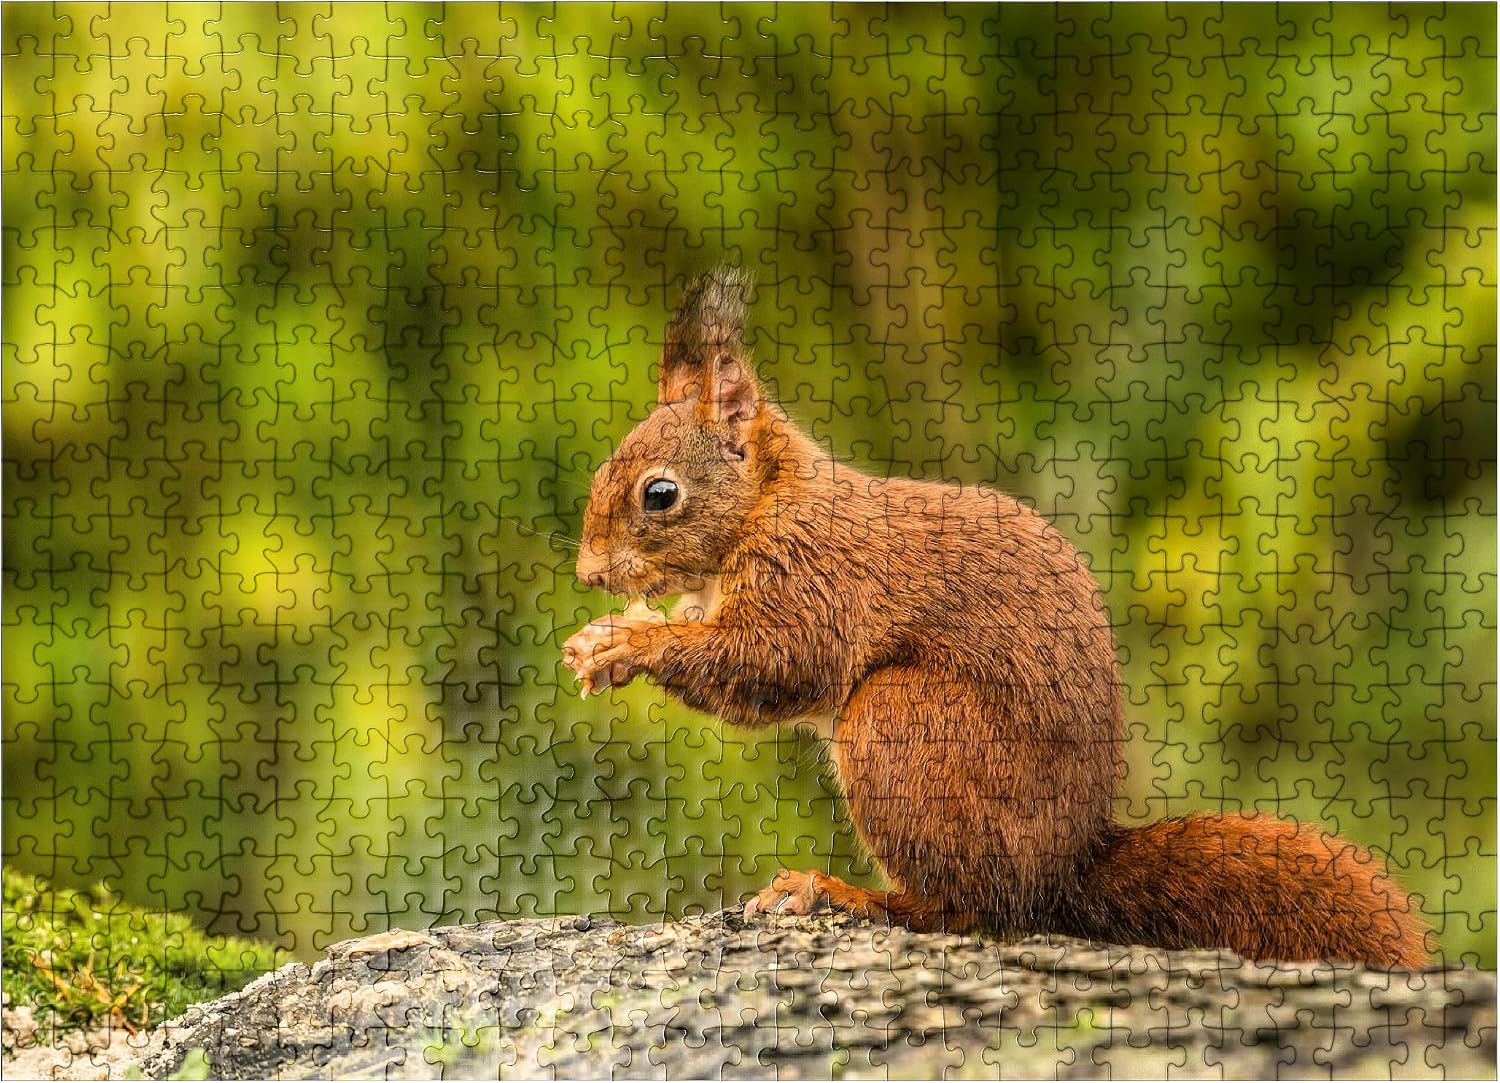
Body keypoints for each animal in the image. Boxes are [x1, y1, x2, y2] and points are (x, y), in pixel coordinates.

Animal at [561, 266, 1430, 969]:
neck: (767, 503)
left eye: (660, 493)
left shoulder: (814, 577)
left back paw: (841, 892)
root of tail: (1063, 867)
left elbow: (775, 663)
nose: (589, 572)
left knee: (965, 908)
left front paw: (628, 640)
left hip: (902, 726)